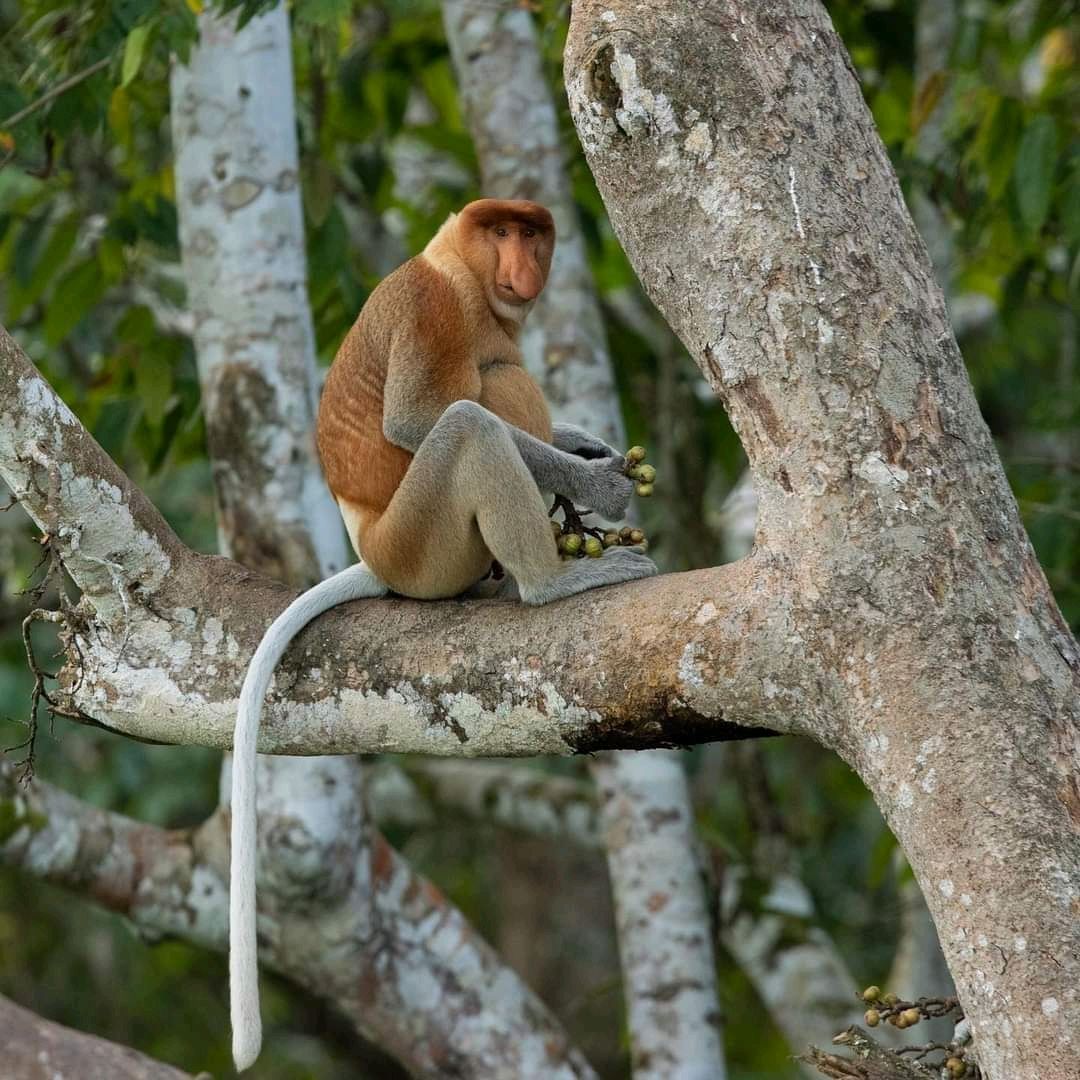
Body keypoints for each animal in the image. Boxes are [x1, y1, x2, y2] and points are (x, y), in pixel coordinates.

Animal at [227, 198, 652, 1067]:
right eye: (503, 233)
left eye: (535, 235)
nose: (523, 264)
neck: (462, 274)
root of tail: (373, 554)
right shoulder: (433, 312)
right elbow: (420, 419)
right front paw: (595, 481)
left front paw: (583, 441)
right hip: (422, 542)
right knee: (467, 423)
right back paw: (547, 583)